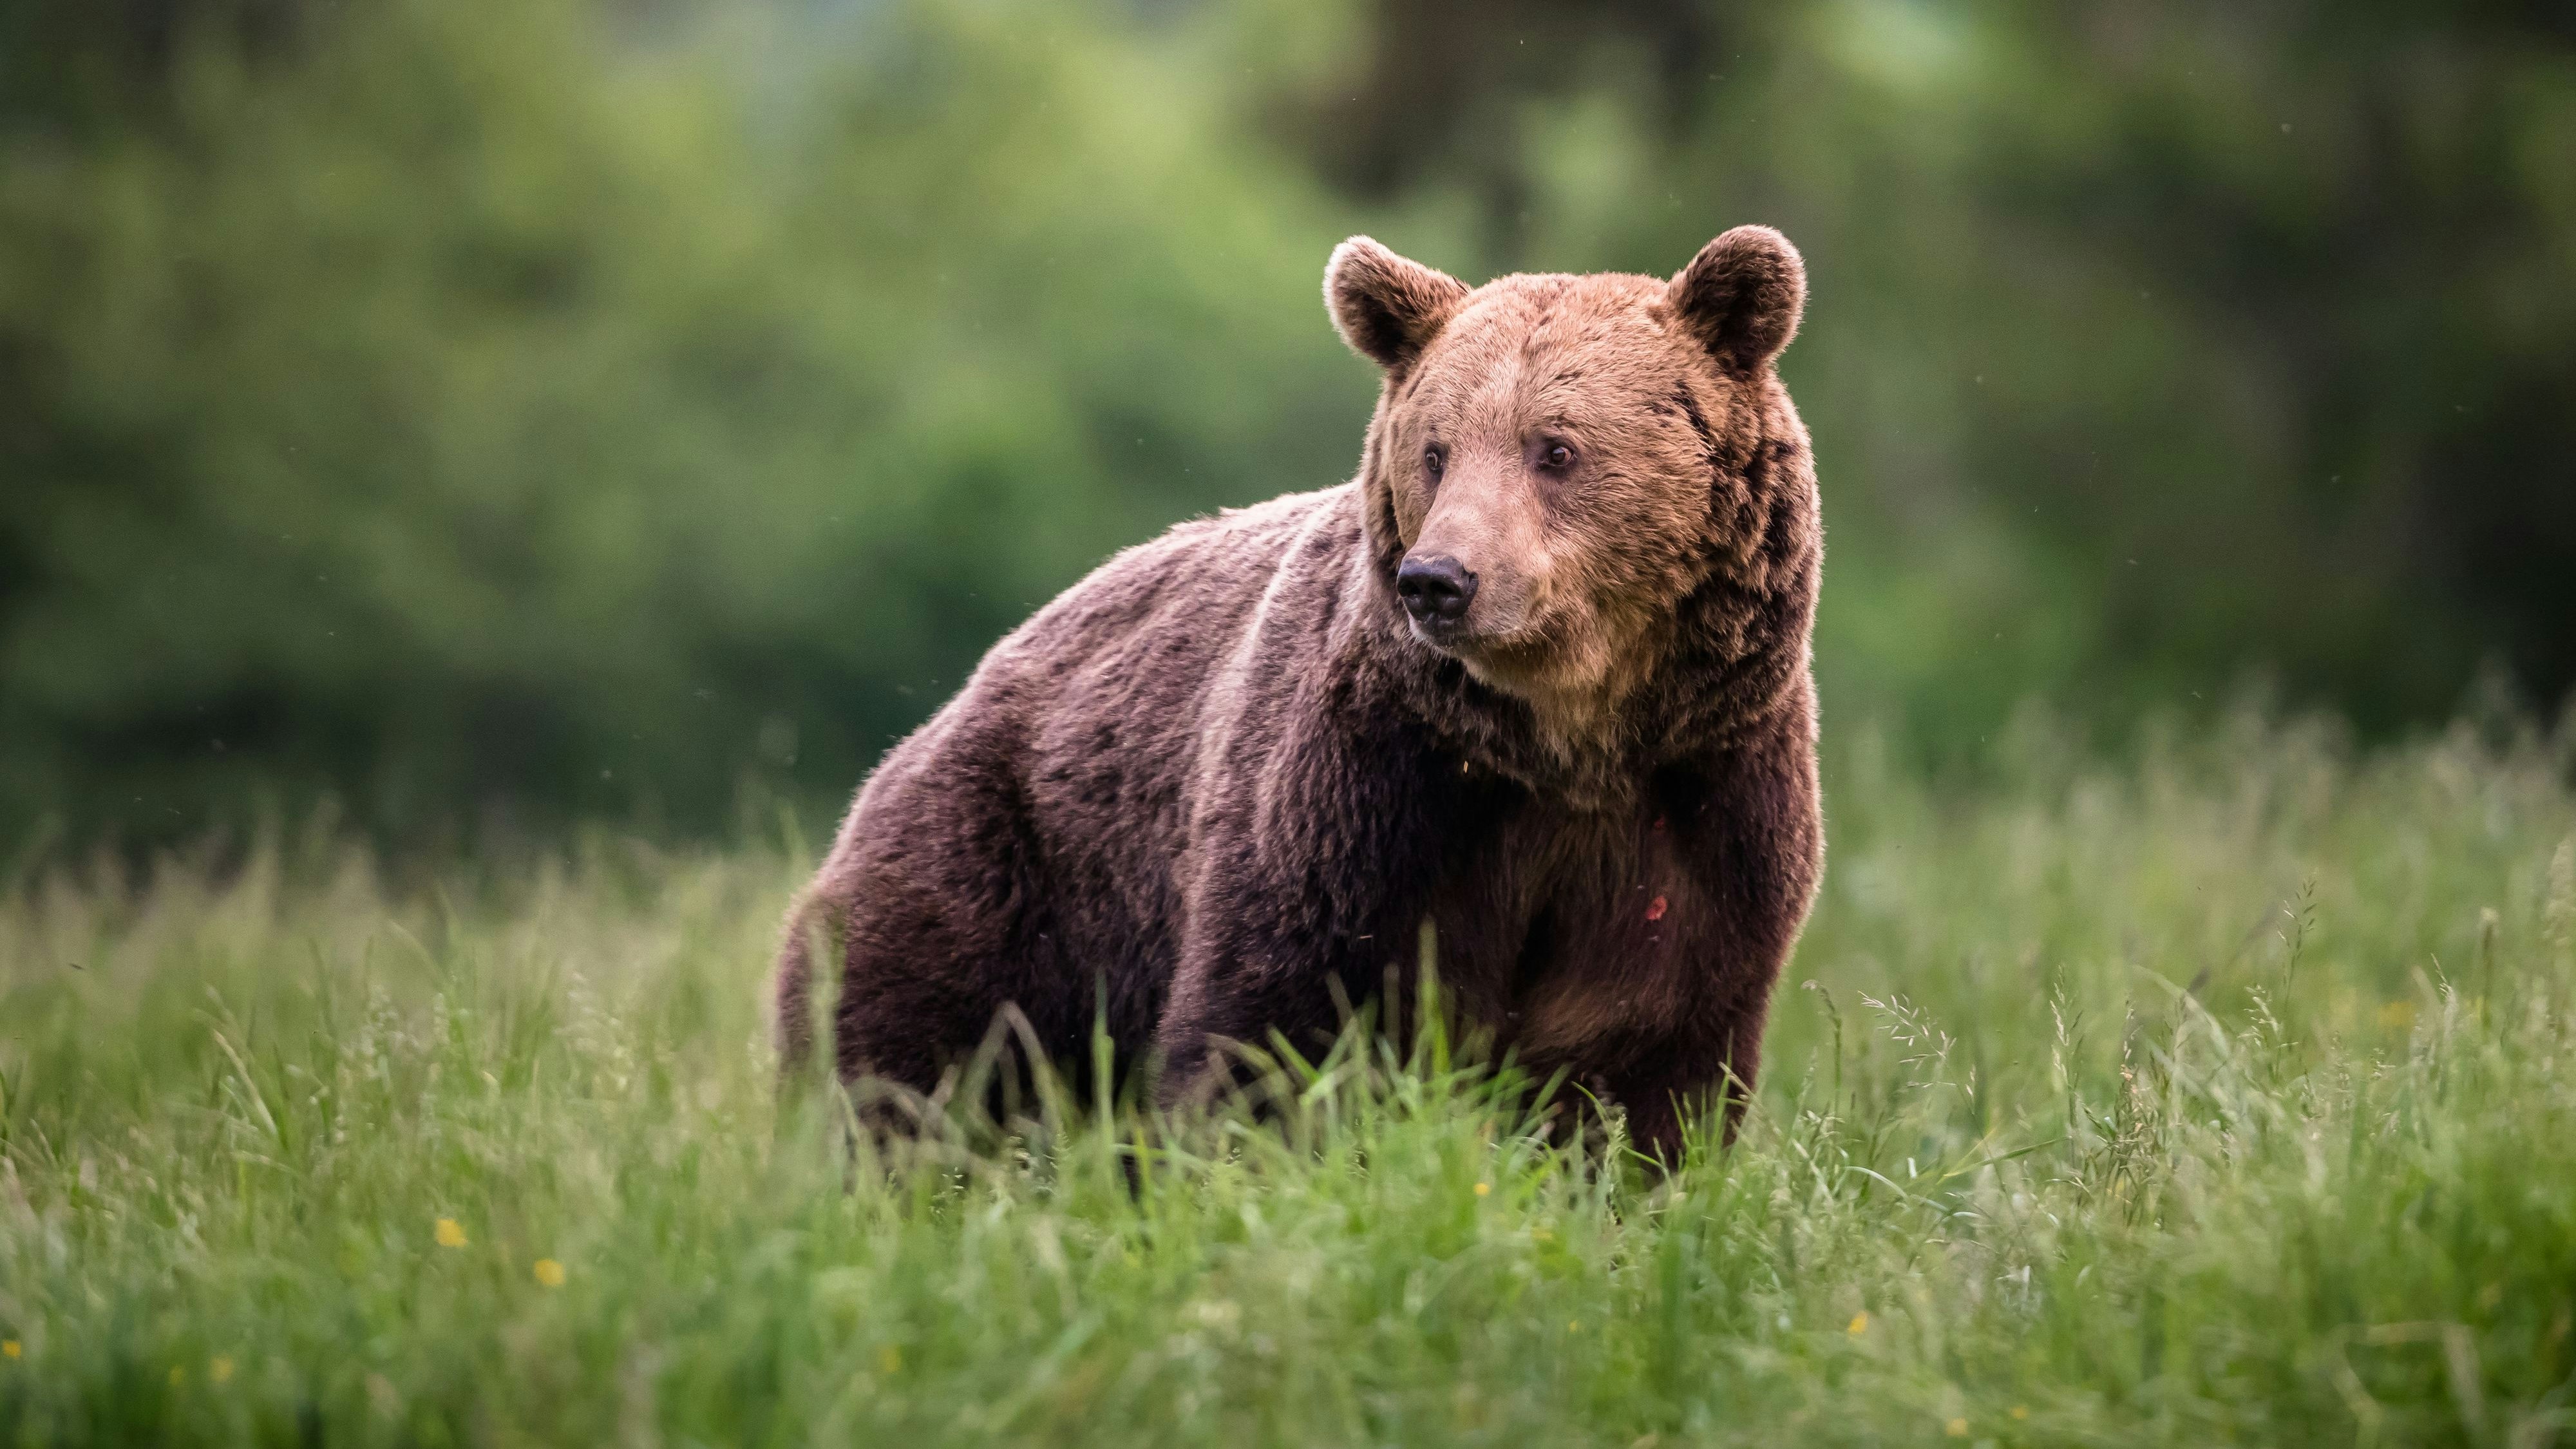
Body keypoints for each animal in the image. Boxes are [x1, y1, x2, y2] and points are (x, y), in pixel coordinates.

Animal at [774, 226, 1824, 1160]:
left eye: (1555, 448)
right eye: (1436, 449)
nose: (1440, 579)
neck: (1563, 744)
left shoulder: (1697, 814)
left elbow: (1640, 1070)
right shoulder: (1366, 801)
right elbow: (1273, 1028)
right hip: (1005, 870)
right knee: (910, 1061)